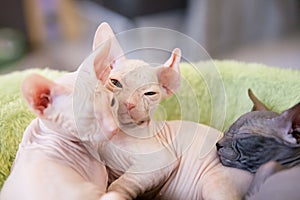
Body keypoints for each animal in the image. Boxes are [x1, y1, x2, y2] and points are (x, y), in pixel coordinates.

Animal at [93, 22, 253, 200]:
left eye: (150, 93)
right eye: (115, 82)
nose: (129, 104)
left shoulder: (159, 161)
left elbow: (122, 183)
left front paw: (113, 194)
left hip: (216, 182)